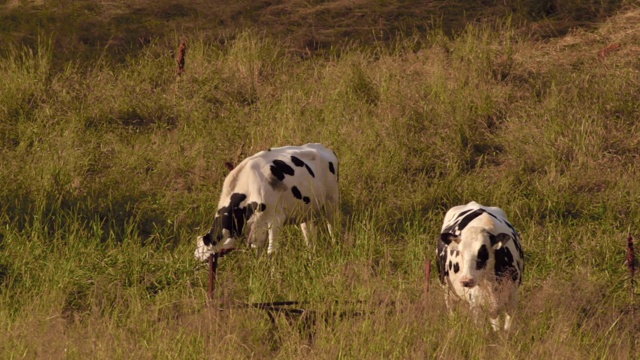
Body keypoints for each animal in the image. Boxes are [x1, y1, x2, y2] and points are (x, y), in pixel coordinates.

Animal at [194, 142, 340, 260]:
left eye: (208, 259)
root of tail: (323, 148)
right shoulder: (256, 229)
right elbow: (257, 252)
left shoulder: (276, 220)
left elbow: (272, 253)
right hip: (306, 210)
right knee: (309, 234)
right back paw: (311, 255)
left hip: (331, 201)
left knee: (332, 226)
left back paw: (335, 246)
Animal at [436, 201, 524, 330]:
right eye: (460, 252)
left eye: (483, 253)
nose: (466, 280)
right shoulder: (475, 303)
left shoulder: (512, 296)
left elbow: (507, 328)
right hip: (447, 290)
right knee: (451, 310)